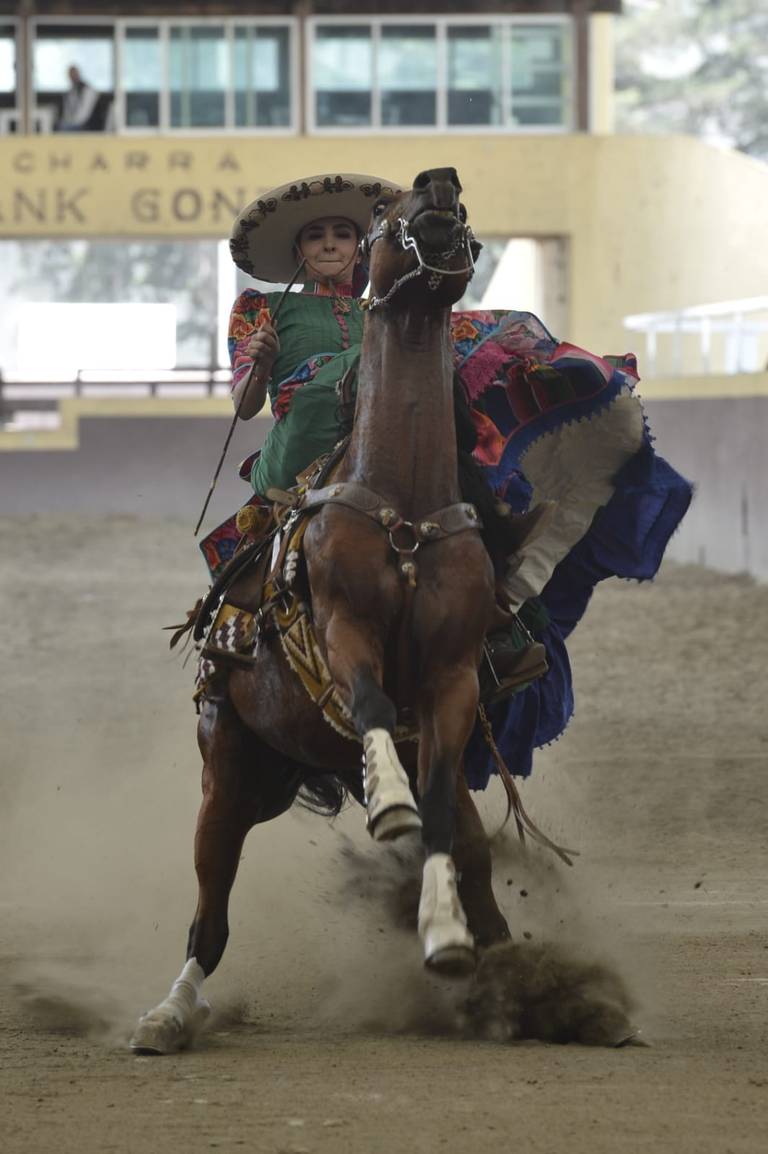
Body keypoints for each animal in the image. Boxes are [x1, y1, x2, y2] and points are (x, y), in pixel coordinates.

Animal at [130, 165, 514, 1057]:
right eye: (379, 213)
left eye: (460, 203)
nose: (440, 183)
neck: (403, 507)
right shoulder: (343, 634)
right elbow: (372, 705)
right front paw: (392, 801)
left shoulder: (451, 682)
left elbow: (440, 815)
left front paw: (445, 930)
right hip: (230, 775)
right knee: (209, 917)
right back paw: (168, 1015)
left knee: (479, 867)